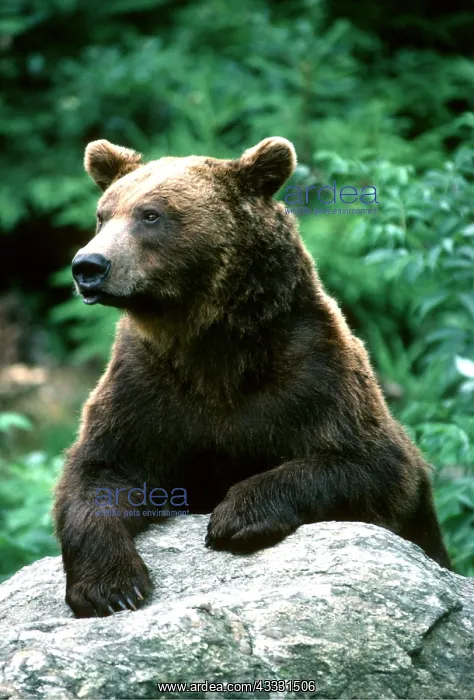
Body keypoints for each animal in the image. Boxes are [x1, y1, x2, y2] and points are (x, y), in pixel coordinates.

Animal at [54, 136, 451, 618]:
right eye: (103, 213)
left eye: (151, 214)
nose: (88, 265)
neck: (212, 348)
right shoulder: (144, 388)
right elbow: (99, 472)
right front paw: (111, 588)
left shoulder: (314, 373)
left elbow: (369, 462)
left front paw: (237, 516)